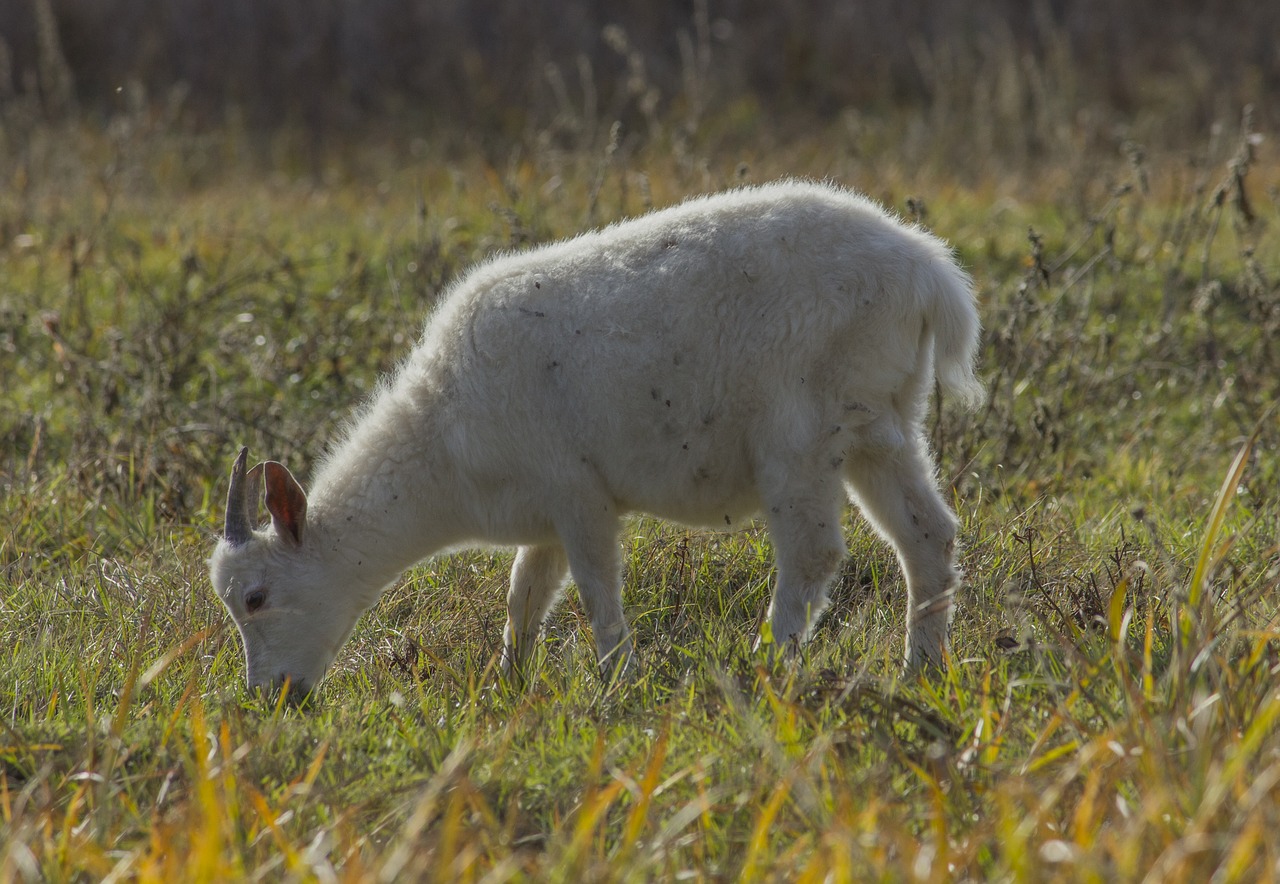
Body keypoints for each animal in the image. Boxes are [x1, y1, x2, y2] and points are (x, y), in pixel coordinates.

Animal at [212, 180, 977, 701]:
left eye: (255, 599)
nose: (272, 699)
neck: (443, 448)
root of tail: (931, 276)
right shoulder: (546, 515)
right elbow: (526, 593)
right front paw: (509, 681)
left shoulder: (578, 492)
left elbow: (596, 589)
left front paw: (618, 683)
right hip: (881, 423)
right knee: (928, 535)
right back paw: (921, 670)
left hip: (802, 434)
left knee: (814, 556)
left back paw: (766, 667)